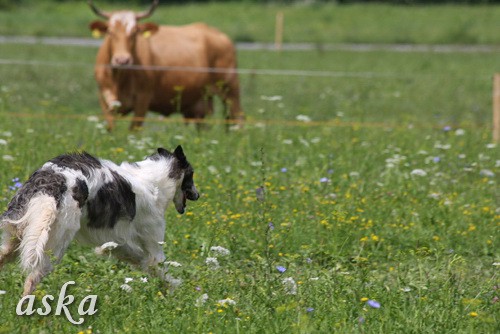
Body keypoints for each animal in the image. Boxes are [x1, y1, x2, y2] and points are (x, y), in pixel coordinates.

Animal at [0, 145, 199, 296]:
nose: (198, 195)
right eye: (192, 174)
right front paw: (178, 290)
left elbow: (137, 258)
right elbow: (159, 268)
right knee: (31, 280)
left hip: (21, 236)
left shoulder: (117, 242)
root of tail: (56, 180)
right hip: (53, 246)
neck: (155, 182)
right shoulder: (153, 243)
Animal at [88, 0, 244, 130]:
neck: (119, 79)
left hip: (230, 89)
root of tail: (220, 35)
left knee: (237, 118)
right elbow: (111, 128)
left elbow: (134, 130)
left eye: (135, 32)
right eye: (109, 31)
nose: (122, 60)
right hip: (201, 102)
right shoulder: (104, 98)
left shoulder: (143, 99)